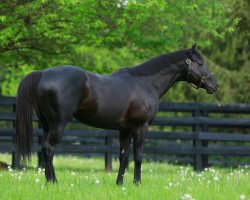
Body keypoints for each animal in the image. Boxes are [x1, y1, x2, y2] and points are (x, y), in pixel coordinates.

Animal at [16, 44, 219, 185]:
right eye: (200, 63)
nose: (215, 85)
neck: (145, 84)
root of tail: (43, 73)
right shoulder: (141, 127)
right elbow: (138, 156)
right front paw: (137, 183)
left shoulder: (125, 131)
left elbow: (123, 156)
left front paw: (120, 183)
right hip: (58, 124)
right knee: (49, 149)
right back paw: (54, 182)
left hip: (46, 124)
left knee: (44, 150)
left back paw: (47, 182)